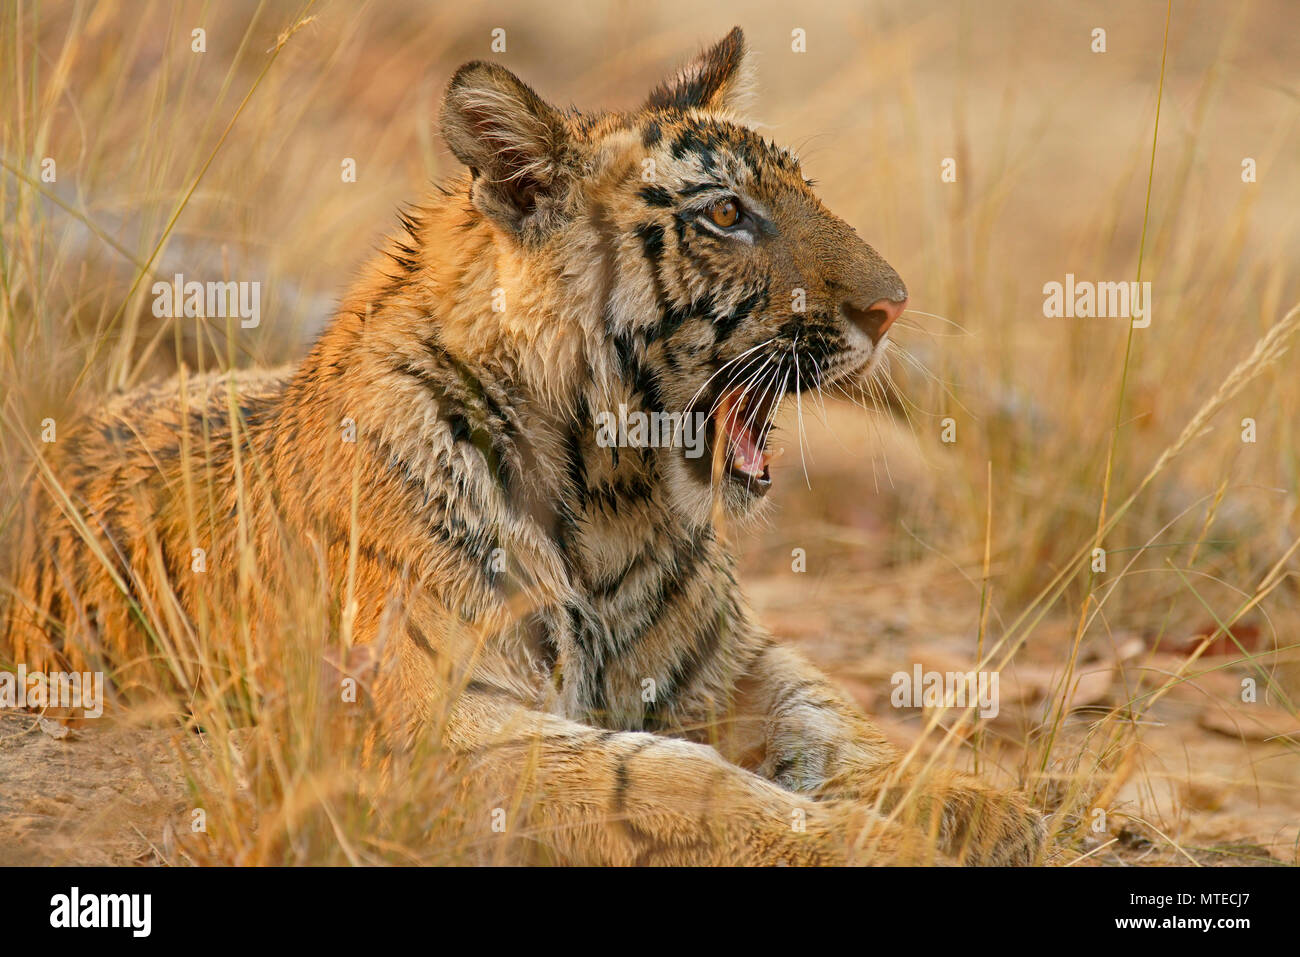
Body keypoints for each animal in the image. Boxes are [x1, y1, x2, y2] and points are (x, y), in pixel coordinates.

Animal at [2, 27, 1045, 865]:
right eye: (726, 214)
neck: (613, 494)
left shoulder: (733, 664)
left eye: (804, 191)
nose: (892, 304)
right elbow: (671, 782)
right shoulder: (436, 715)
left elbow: (838, 723)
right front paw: (875, 844)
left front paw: (987, 806)